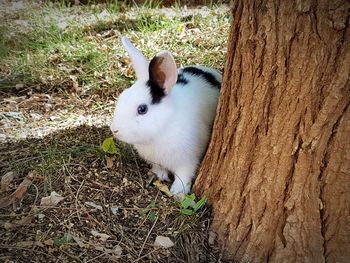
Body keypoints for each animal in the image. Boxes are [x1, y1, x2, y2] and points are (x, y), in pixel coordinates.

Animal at [109, 36, 221, 195]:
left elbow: (184, 175)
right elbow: (159, 168)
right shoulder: (156, 161)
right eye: (121, 97)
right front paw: (160, 176)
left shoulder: (188, 160)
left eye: (142, 109)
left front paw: (177, 191)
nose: (114, 130)